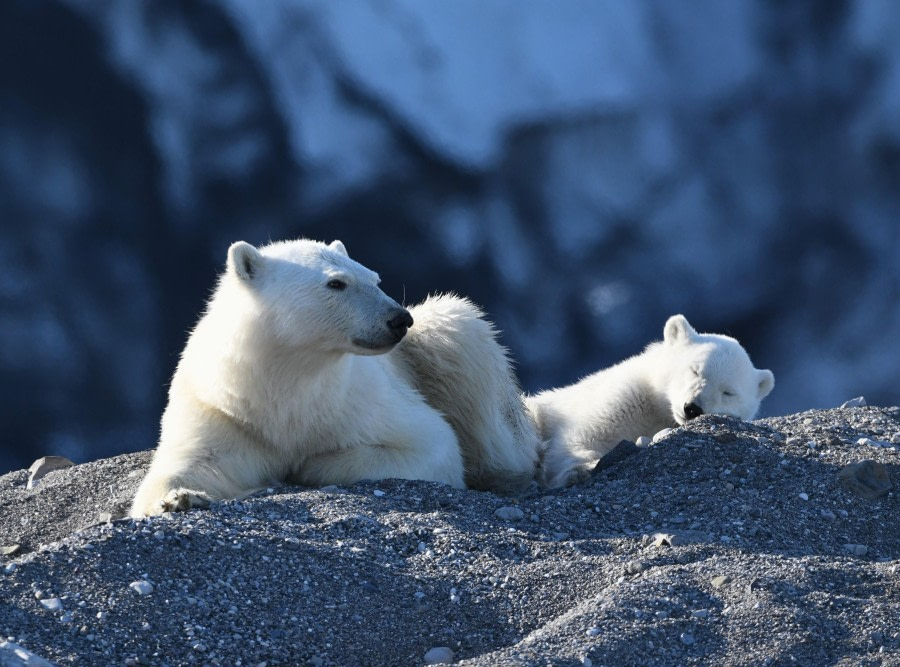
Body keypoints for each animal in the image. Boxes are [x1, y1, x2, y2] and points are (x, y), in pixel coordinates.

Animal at [126, 240, 536, 516]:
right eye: (336, 283)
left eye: (374, 278)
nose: (399, 319)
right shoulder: (225, 411)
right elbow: (194, 463)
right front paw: (178, 498)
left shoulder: (359, 402)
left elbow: (431, 444)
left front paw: (307, 465)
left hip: (446, 342)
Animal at [528, 316, 772, 488]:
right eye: (695, 370)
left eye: (728, 392)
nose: (692, 408)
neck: (657, 408)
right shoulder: (626, 395)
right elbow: (583, 433)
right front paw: (579, 469)